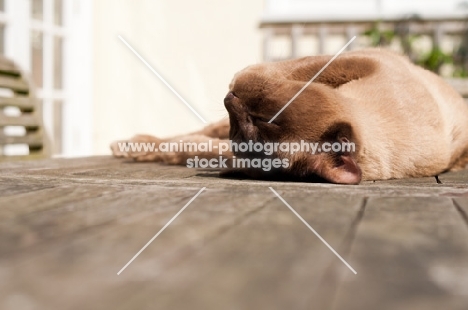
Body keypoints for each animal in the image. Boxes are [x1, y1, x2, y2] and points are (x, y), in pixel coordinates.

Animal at [110, 48, 468, 184]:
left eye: (257, 124)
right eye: (265, 119)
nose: (231, 99)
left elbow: (194, 147)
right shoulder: (362, 60)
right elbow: (310, 66)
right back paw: (127, 144)